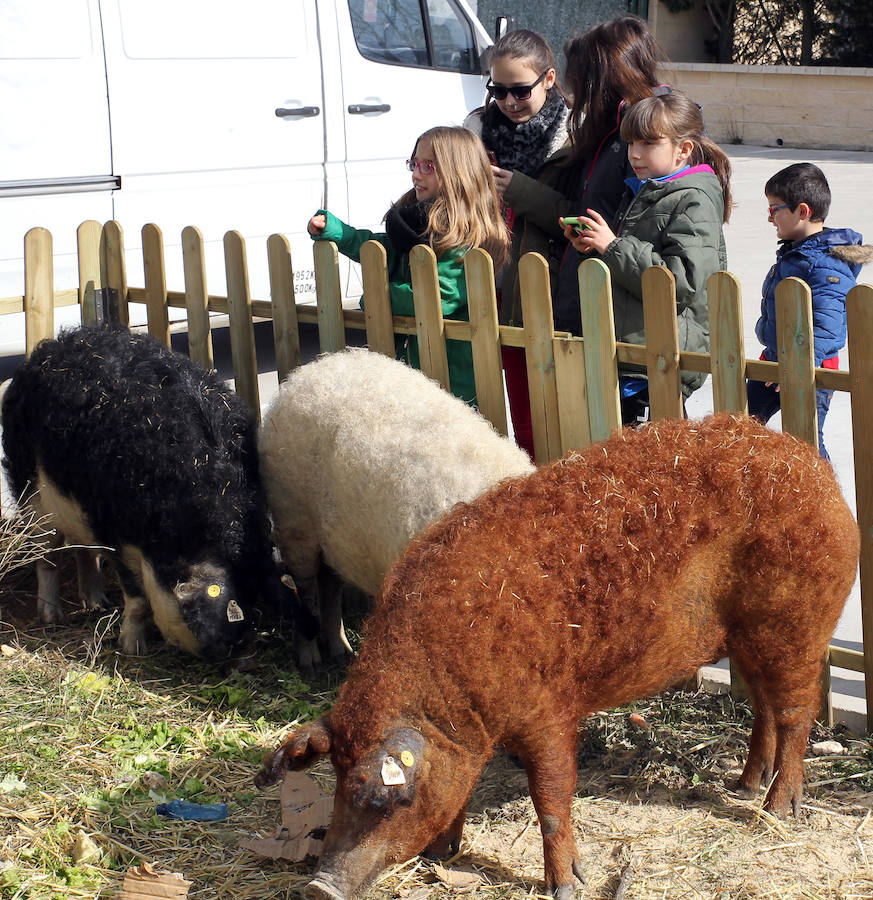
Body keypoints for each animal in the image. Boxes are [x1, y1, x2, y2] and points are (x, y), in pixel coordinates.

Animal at [255, 348, 536, 672]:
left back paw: (341, 652)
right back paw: (310, 660)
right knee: (306, 589)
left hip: (331, 537)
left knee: (329, 585)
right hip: (294, 519)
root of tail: (309, 371)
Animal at [258, 414, 860, 900]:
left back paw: (777, 809)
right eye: (337, 782)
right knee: (764, 707)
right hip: (748, 639)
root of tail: (817, 472)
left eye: (388, 800)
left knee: (797, 713)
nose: (318, 887)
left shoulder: (547, 711)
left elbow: (551, 797)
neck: (453, 690)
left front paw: (566, 886)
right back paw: (745, 786)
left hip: (796, 628)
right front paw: (440, 853)